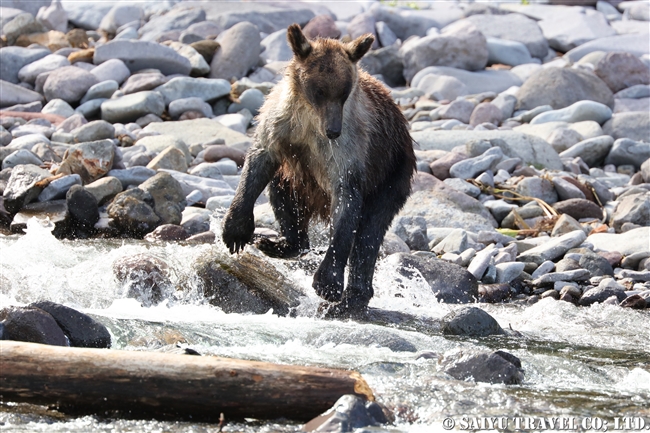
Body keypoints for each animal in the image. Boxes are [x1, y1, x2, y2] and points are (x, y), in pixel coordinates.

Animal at [223, 23, 416, 316]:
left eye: (344, 93)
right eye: (320, 91)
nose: (333, 130)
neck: (310, 117)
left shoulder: (349, 148)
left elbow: (346, 201)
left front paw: (328, 282)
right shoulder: (281, 124)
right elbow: (257, 163)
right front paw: (236, 231)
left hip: (391, 172)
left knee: (369, 233)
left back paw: (351, 300)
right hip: (298, 178)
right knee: (282, 193)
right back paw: (280, 244)